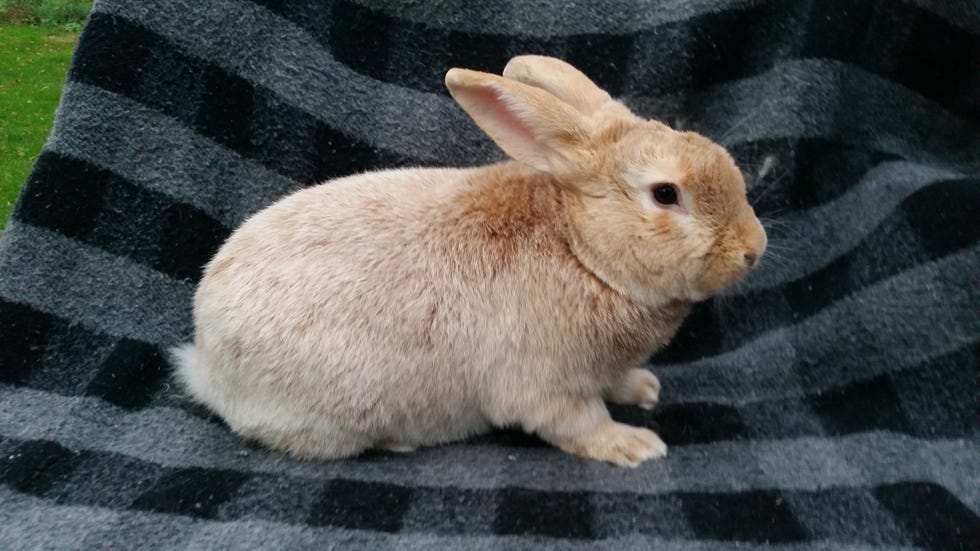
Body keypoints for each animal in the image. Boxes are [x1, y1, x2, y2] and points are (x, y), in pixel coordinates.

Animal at [172, 56, 764, 468]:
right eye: (666, 194)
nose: (752, 248)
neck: (580, 249)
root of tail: (204, 359)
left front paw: (643, 389)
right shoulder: (546, 388)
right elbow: (580, 424)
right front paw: (636, 445)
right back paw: (396, 443)